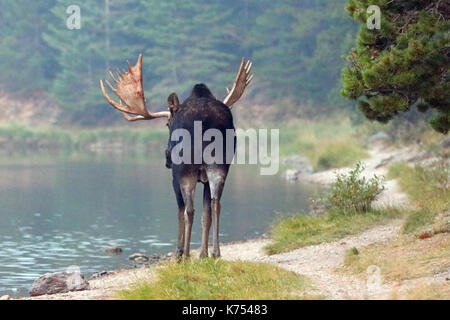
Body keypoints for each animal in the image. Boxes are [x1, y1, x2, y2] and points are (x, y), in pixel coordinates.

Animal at [100, 55, 251, 258]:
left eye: (167, 124)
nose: (166, 158)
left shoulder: (174, 177)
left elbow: (180, 210)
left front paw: (179, 251)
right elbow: (206, 214)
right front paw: (203, 253)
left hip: (184, 169)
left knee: (189, 209)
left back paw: (185, 254)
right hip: (220, 166)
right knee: (215, 204)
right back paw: (215, 253)